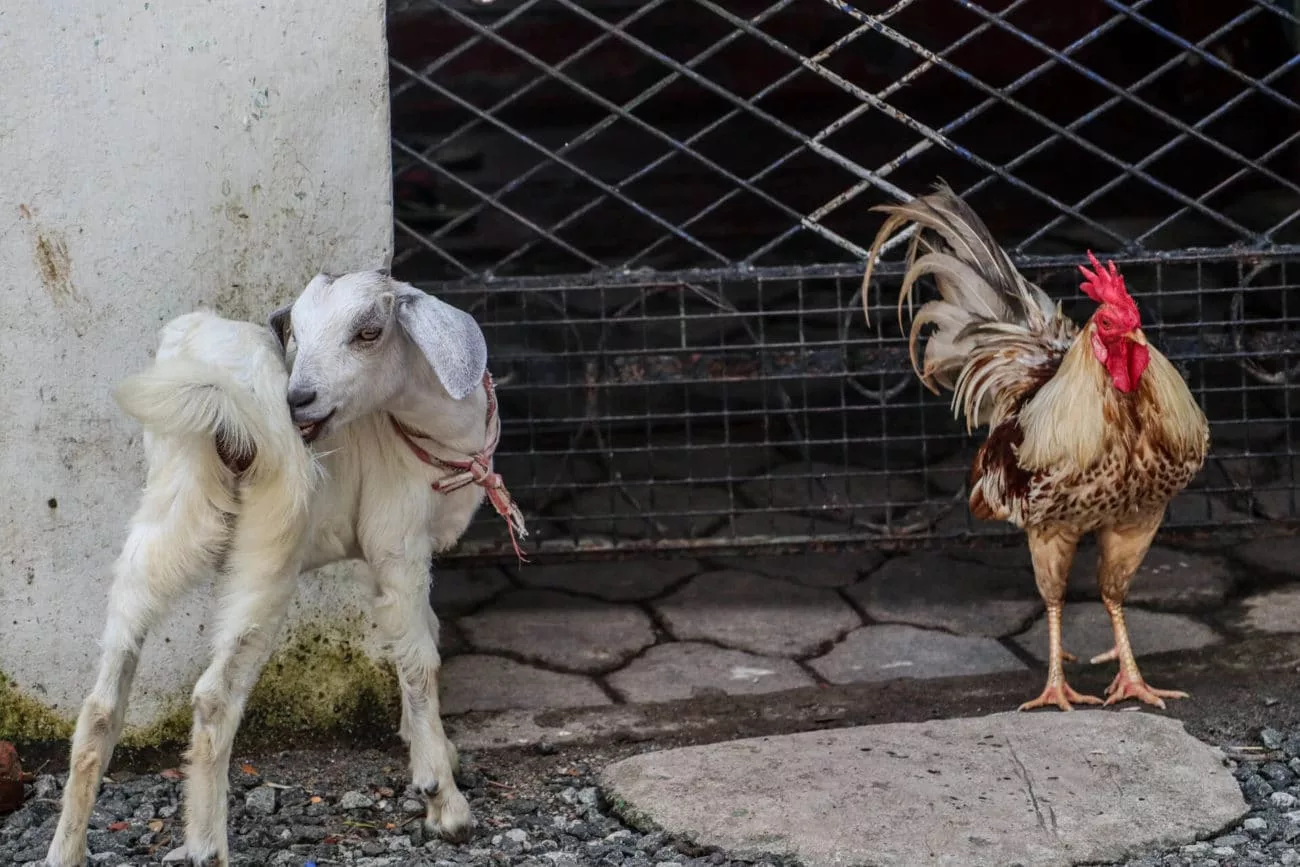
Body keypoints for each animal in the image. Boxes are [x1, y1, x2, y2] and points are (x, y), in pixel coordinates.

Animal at [46, 271, 524, 867]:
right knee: (214, 699)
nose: (299, 398)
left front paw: (424, 751)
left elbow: (414, 638)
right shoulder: (397, 540)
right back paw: (207, 847)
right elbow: (421, 662)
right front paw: (443, 798)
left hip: (163, 526)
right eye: (297, 329)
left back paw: (66, 850)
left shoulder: (379, 558)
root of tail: (223, 394)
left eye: (369, 331)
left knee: (101, 702)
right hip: (270, 548)